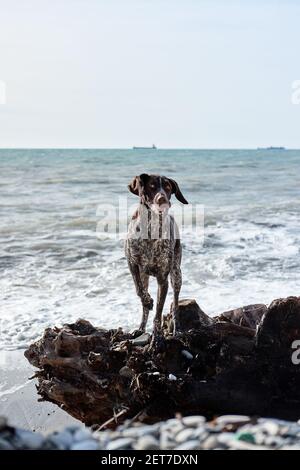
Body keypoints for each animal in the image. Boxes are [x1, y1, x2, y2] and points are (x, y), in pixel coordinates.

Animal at [125, 174, 189, 344]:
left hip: (176, 275)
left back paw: (177, 330)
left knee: (176, 306)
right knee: (144, 303)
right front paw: (148, 301)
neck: (150, 227)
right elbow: (139, 291)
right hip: (145, 276)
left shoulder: (163, 279)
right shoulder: (132, 264)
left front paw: (158, 336)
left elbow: (159, 313)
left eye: (168, 187)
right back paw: (141, 328)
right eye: (152, 186)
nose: (162, 199)